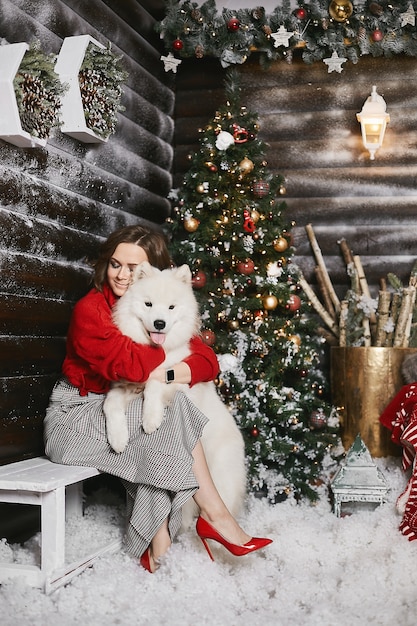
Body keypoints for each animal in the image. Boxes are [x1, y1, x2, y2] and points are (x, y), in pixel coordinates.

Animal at [103, 260, 245, 524]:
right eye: (148, 304)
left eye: (171, 307)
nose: (160, 323)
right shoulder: (124, 387)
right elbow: (111, 404)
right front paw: (117, 438)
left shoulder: (178, 379)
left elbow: (155, 383)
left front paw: (150, 419)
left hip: (219, 476)